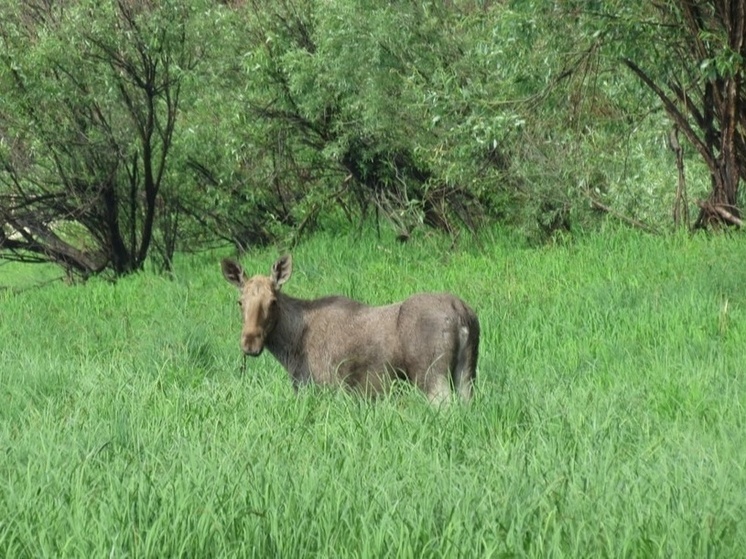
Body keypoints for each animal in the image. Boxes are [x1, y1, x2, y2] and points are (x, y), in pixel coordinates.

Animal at [221, 256, 480, 404]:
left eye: (273, 301)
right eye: (240, 302)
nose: (250, 343)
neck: (290, 347)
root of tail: (462, 312)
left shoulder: (325, 386)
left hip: (431, 374)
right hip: (467, 372)